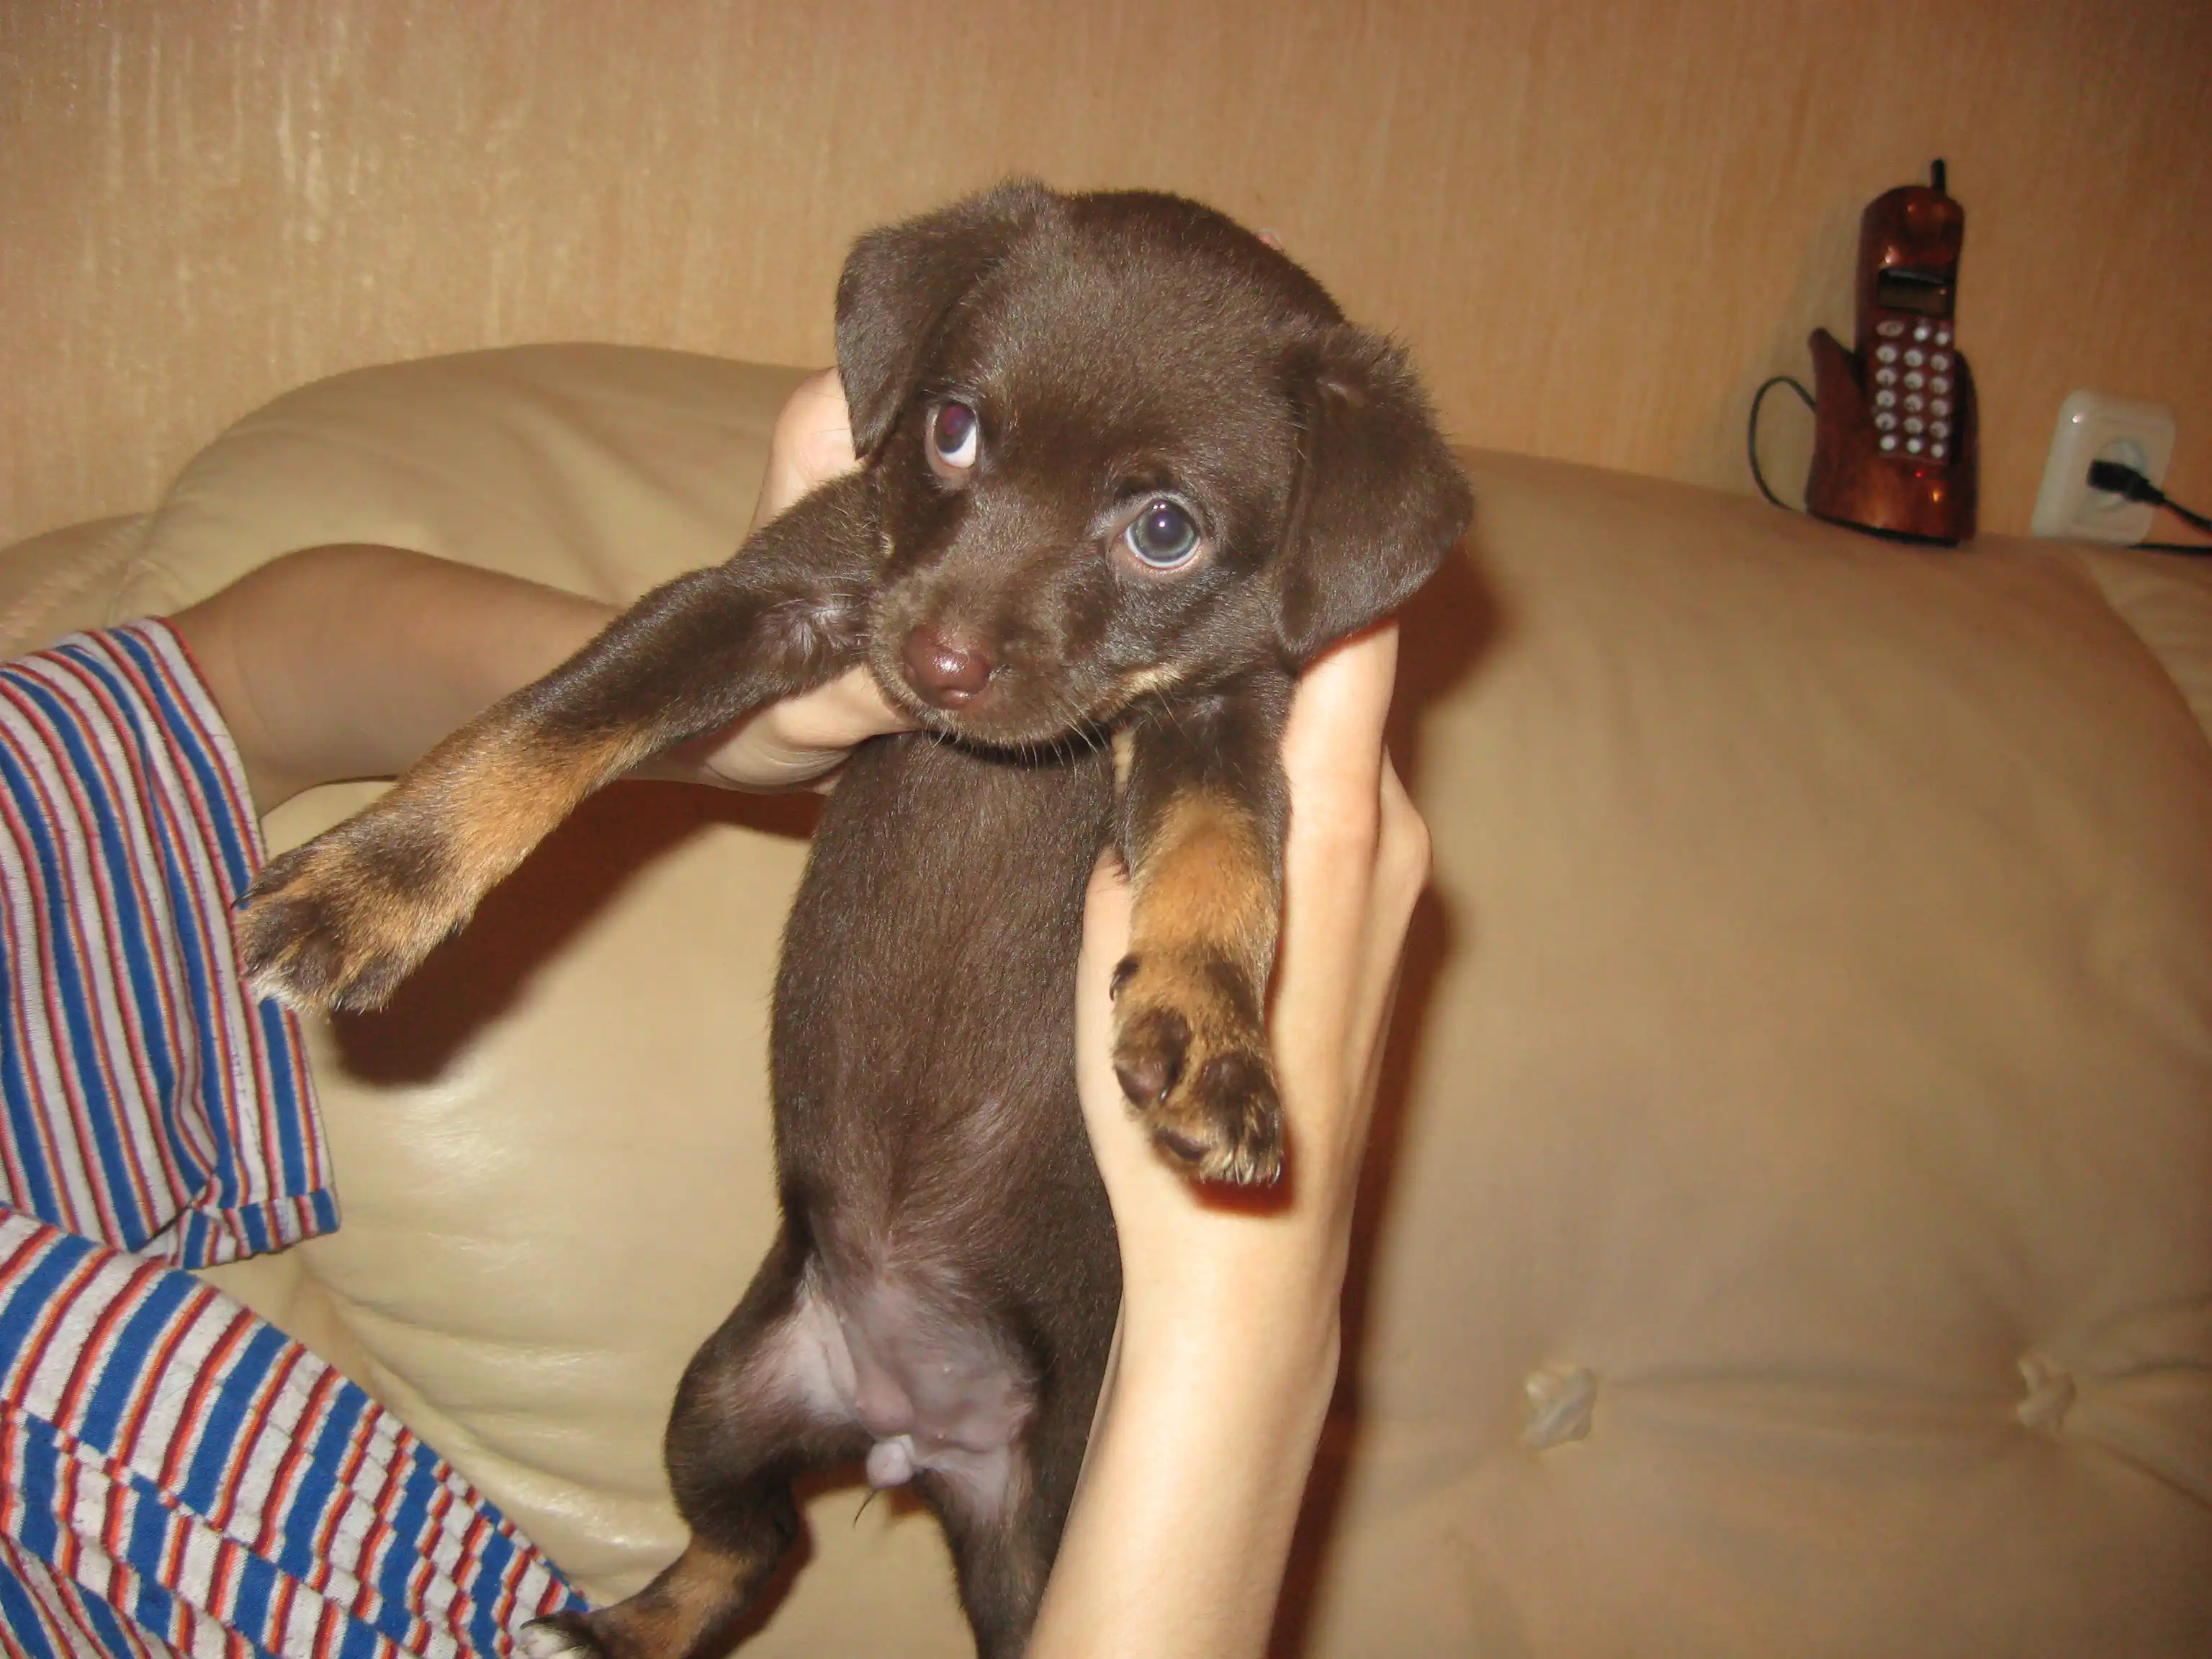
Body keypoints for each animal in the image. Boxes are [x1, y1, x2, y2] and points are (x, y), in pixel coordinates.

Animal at [237, 180, 1471, 1657]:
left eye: (1164, 530)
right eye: (951, 429)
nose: (935, 661)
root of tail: (906, 1434)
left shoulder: (1223, 721)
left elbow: (1224, 868)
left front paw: (1213, 1037)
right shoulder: (761, 594)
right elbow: (557, 718)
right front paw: (381, 874)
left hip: (1030, 1534)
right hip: (720, 1396)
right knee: (747, 1542)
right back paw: (614, 1629)